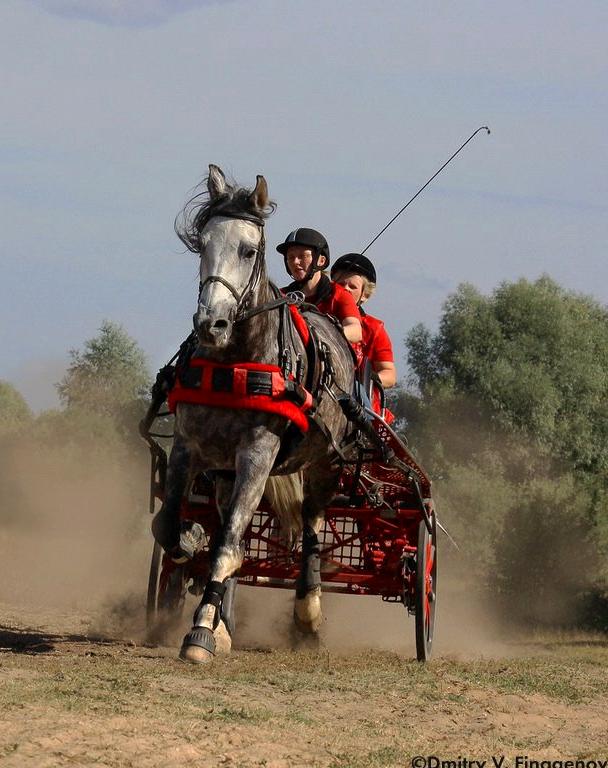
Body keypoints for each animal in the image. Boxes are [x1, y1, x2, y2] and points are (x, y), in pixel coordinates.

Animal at [154, 165, 356, 664]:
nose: (211, 324)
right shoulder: (189, 446)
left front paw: (201, 633)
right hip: (227, 473)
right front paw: (190, 540)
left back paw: (307, 615)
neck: (237, 362)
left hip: (325, 464)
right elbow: (171, 526)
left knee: (312, 529)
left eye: (248, 250)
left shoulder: (259, 455)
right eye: (202, 244)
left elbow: (227, 549)